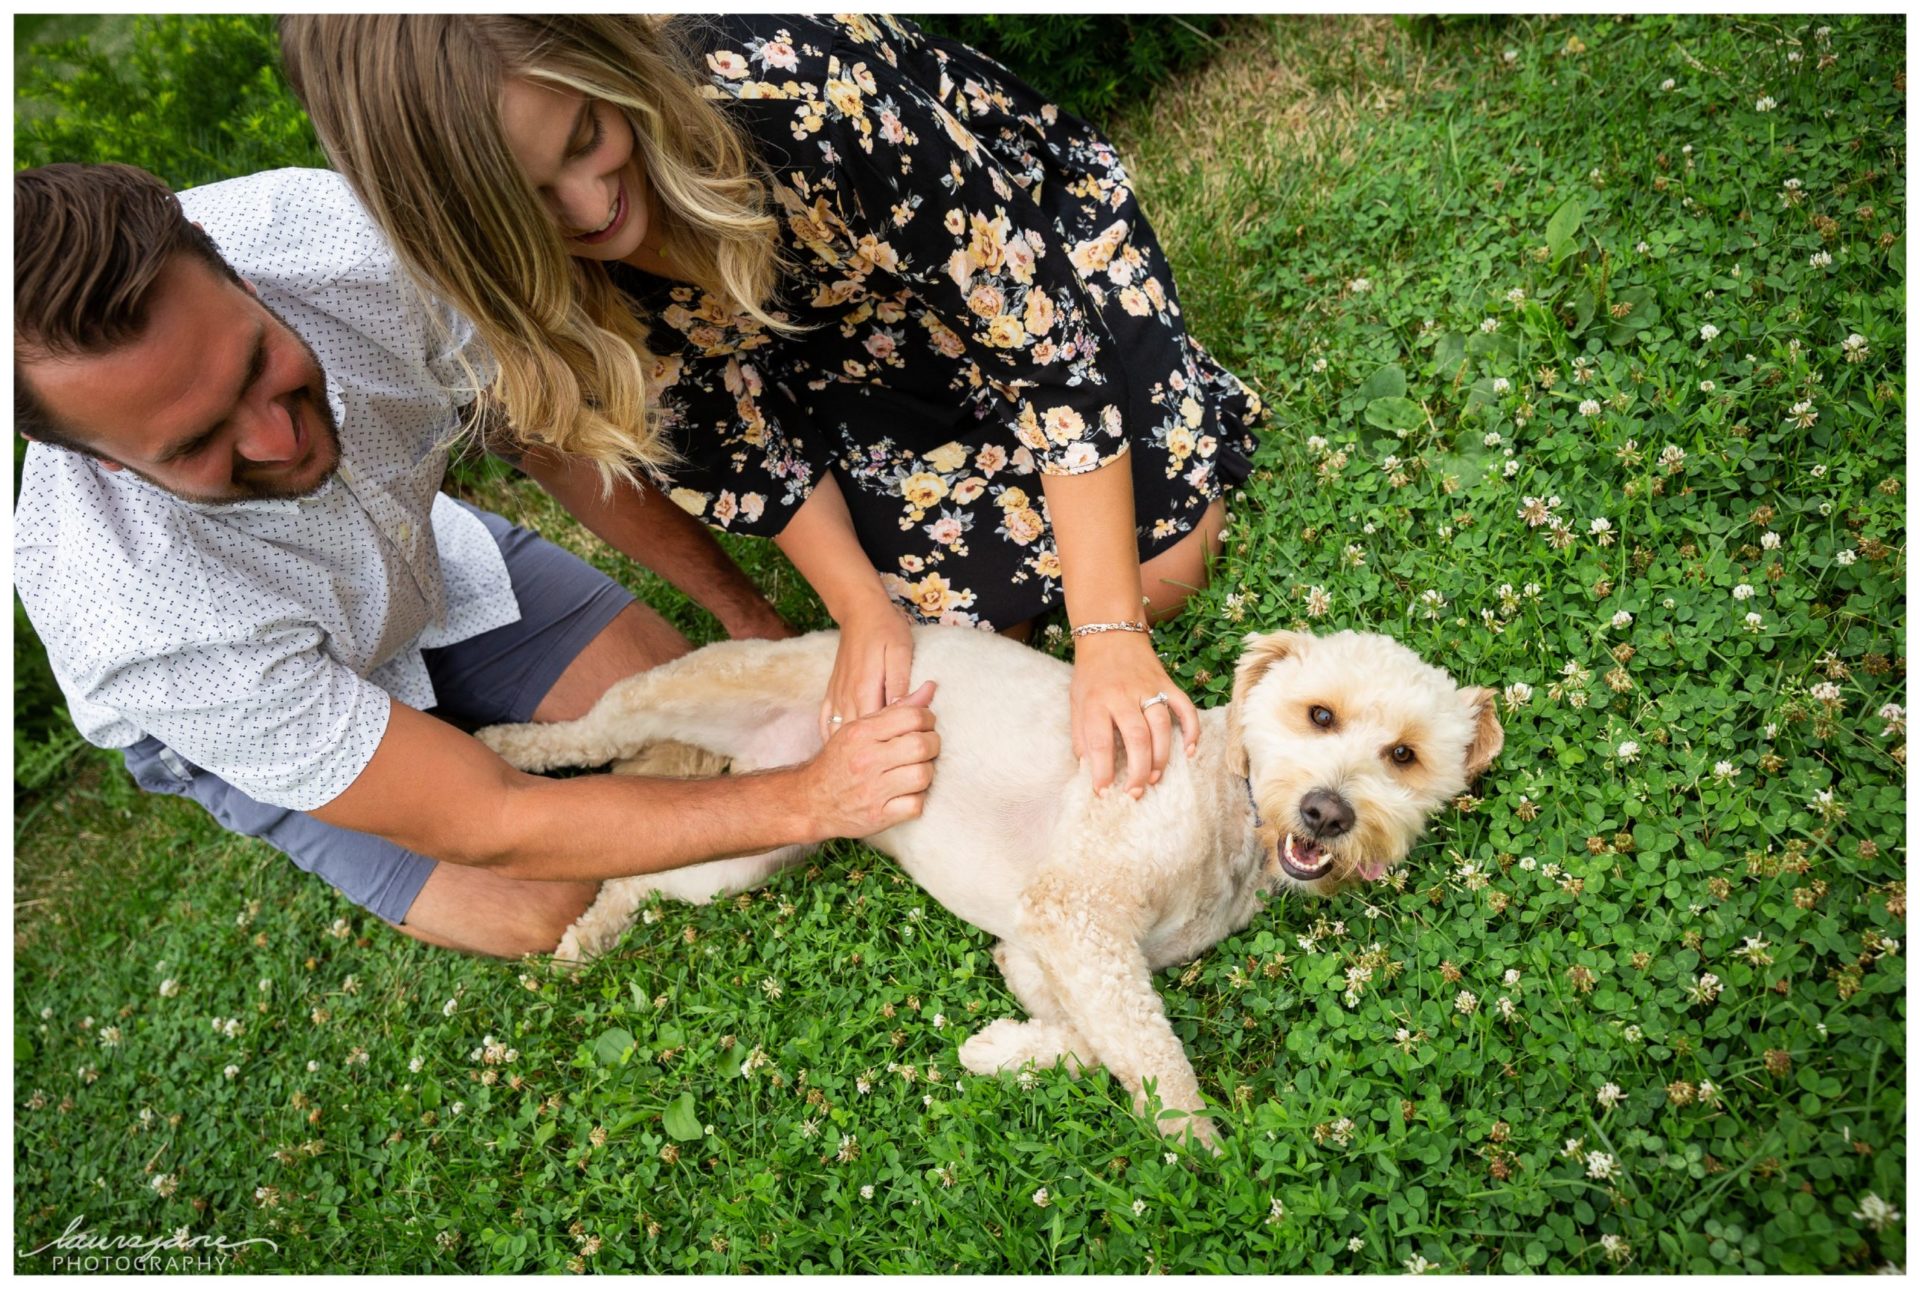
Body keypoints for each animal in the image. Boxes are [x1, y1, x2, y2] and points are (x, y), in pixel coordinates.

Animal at [476, 626, 1497, 1152]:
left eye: (1404, 756)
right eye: (1318, 713)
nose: (1328, 812)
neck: (1226, 798)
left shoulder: (1043, 949)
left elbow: (1097, 1040)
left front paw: (1002, 1051)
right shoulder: (1076, 913)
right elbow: (1153, 1054)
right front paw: (1199, 1151)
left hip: (750, 847)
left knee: (637, 874)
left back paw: (588, 938)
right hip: (687, 689)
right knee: (583, 736)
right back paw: (502, 744)